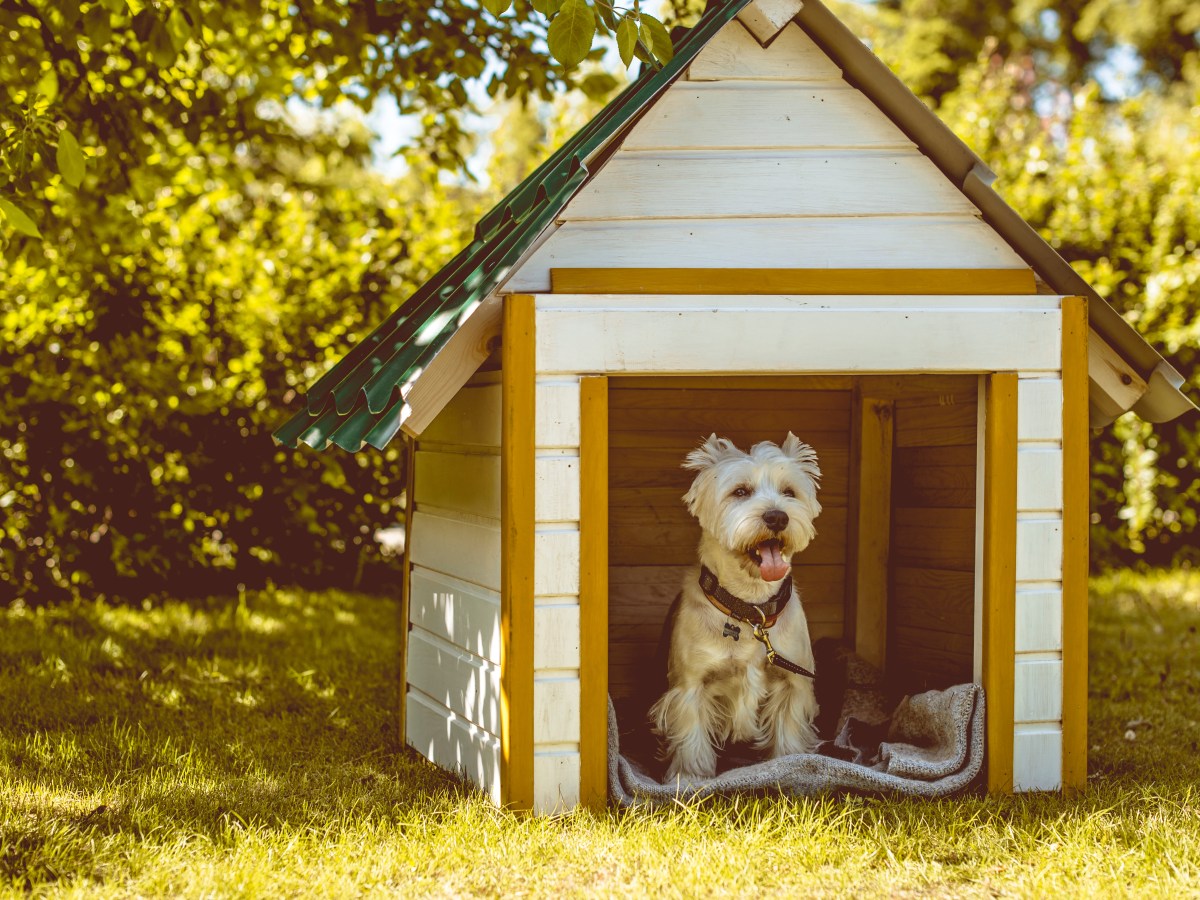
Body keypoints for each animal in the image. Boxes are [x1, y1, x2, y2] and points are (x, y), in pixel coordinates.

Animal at [648, 434, 825, 782]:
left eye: (789, 492)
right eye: (740, 491)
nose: (777, 517)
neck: (751, 609)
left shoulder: (793, 683)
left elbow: (788, 734)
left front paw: (791, 768)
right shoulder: (691, 686)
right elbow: (692, 739)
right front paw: (689, 778)